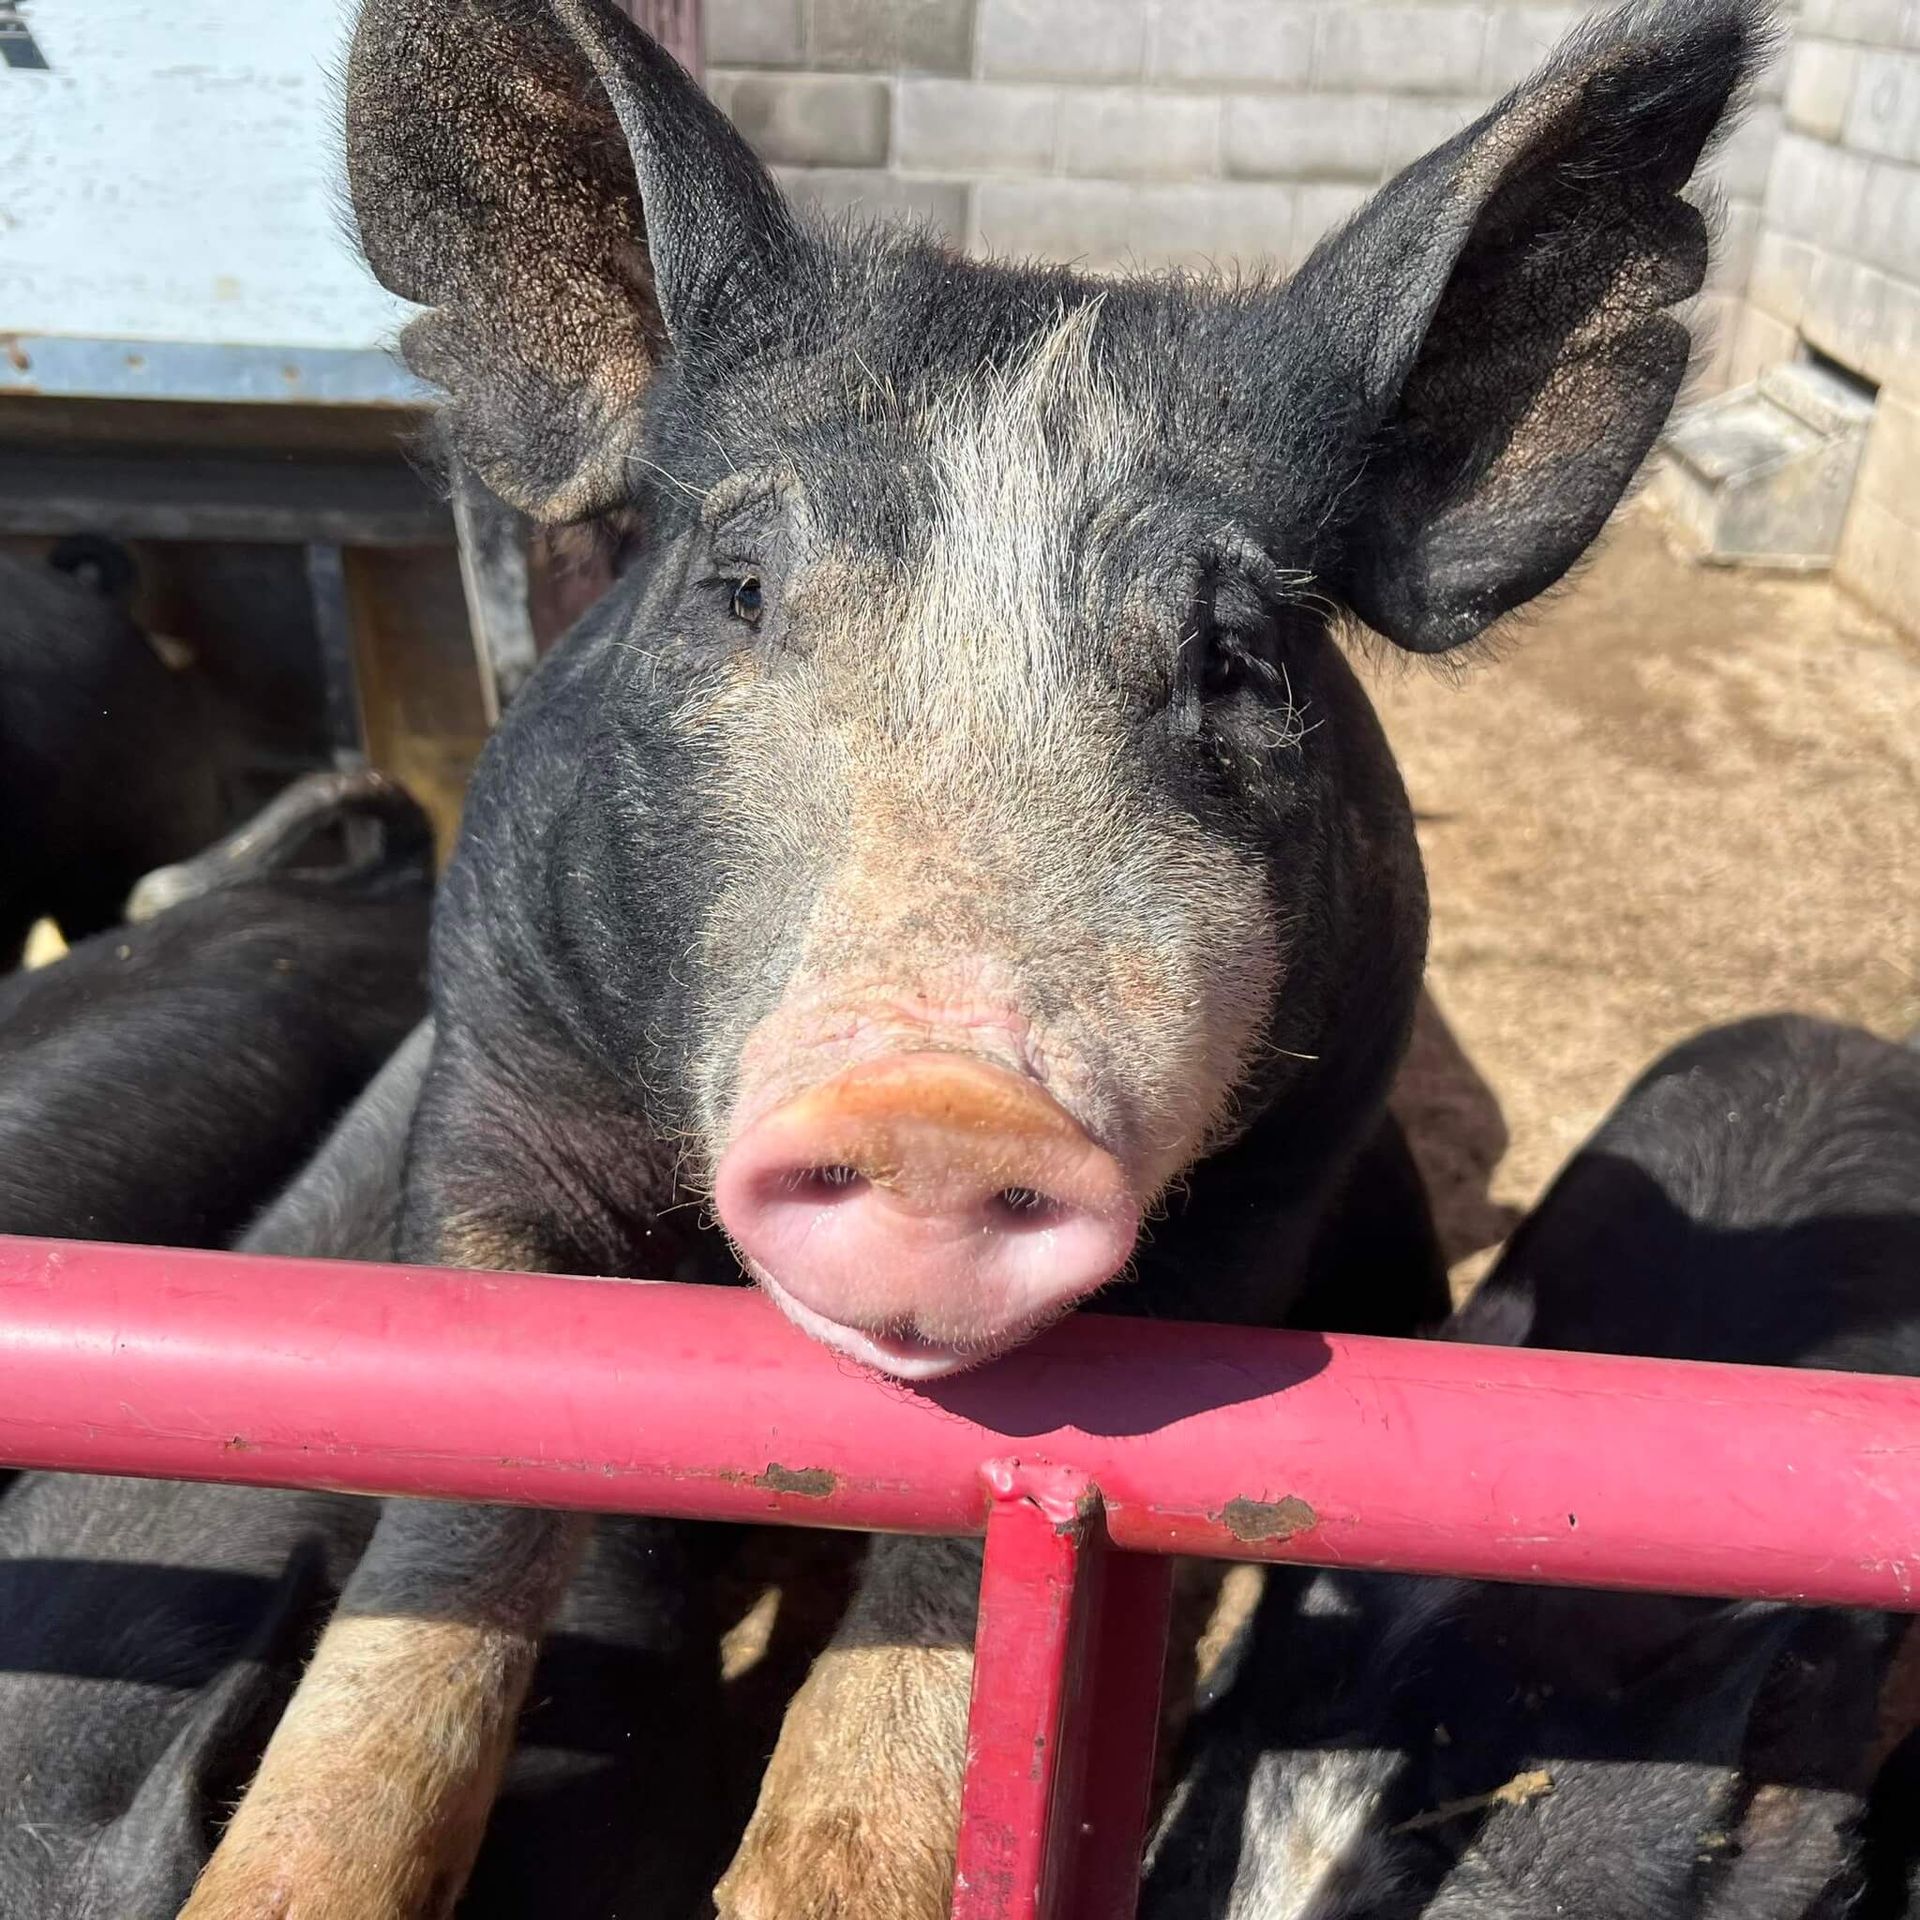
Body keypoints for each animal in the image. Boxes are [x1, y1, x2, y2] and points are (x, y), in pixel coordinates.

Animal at [178, 1, 1769, 1914]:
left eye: (1240, 660)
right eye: (736, 588)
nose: (944, 1098)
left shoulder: (1263, 1203)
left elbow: (943, 1650)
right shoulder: (495, 1069)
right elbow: (434, 1566)